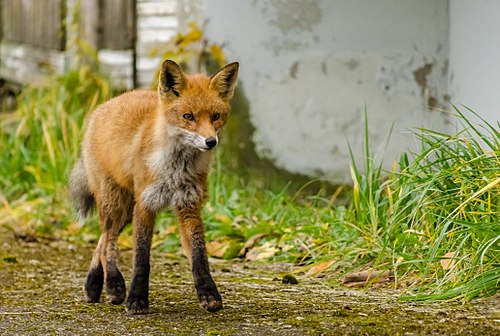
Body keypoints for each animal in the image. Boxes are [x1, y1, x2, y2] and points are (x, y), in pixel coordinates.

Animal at [69, 59, 239, 314]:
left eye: (215, 116)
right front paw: (137, 300)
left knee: (102, 240)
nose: (211, 142)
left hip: (126, 211)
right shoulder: (146, 205)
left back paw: (93, 285)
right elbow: (141, 258)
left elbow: (199, 256)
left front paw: (209, 294)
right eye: (188, 116)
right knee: (108, 241)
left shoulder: (189, 205)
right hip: (116, 204)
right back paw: (114, 286)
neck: (175, 170)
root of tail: (103, 107)